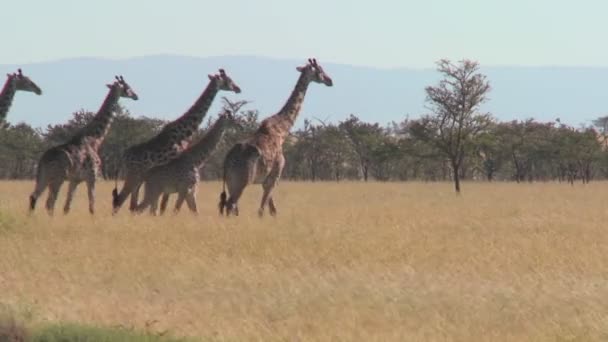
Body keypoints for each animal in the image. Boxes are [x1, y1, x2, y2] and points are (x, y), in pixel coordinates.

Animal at [29, 75, 138, 214]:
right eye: (127, 87)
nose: (136, 96)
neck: (95, 139)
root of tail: (43, 160)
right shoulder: (92, 176)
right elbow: (92, 204)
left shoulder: (75, 180)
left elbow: (67, 207)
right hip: (57, 177)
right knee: (49, 203)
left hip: (43, 177)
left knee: (34, 197)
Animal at [113, 69, 241, 214]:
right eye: (228, 80)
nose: (238, 88)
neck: (183, 132)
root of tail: (123, 156)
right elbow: (164, 206)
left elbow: (161, 206)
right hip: (133, 176)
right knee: (121, 201)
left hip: (138, 179)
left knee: (132, 204)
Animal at [218, 58, 332, 216]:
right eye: (320, 70)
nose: (330, 81)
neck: (282, 131)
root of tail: (227, 161)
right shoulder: (274, 177)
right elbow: (262, 211)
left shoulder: (266, 181)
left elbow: (273, 210)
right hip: (242, 181)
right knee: (231, 205)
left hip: (231, 182)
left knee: (231, 207)